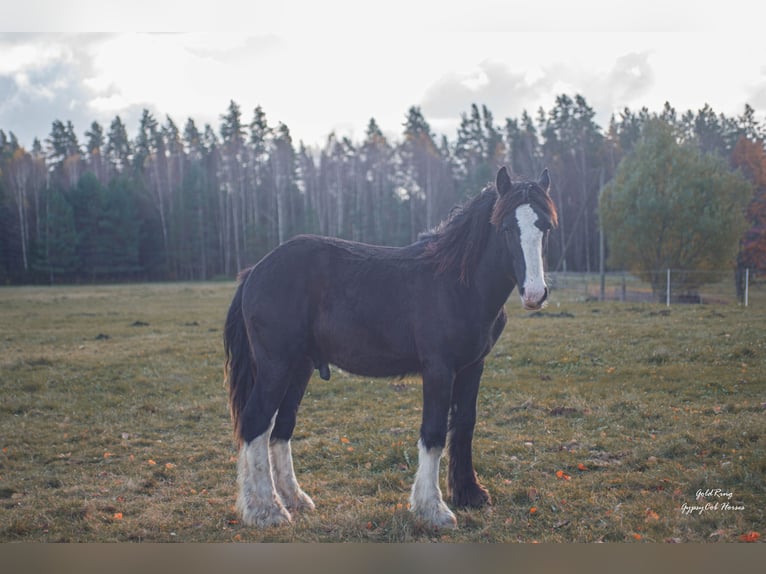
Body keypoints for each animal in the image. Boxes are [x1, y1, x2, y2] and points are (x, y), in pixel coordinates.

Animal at [222, 166, 560, 532]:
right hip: (277, 366)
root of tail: (255, 271)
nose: (534, 294)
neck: (458, 285)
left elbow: (464, 424)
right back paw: (266, 510)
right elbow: (434, 433)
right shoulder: (439, 368)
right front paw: (432, 509)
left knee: (280, 429)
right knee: (255, 422)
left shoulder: (473, 366)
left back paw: (293, 499)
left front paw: (470, 493)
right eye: (506, 227)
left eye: (545, 226)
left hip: (299, 368)